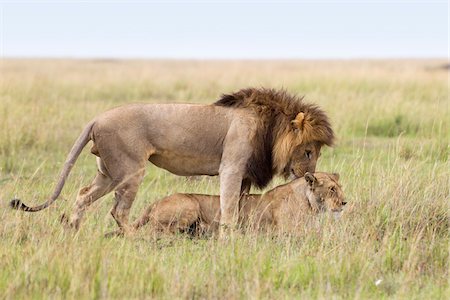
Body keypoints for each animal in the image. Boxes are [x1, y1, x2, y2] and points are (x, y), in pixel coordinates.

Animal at [132, 171, 346, 234]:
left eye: (340, 186)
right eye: (331, 189)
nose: (345, 202)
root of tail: (154, 203)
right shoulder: (288, 231)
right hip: (189, 205)